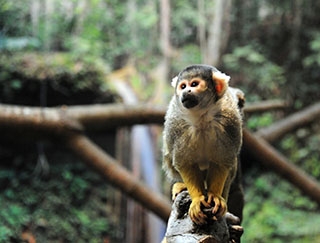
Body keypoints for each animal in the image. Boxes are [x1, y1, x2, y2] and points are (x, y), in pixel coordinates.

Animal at [164, 64, 244, 224]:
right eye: (183, 86)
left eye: (194, 84)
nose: (186, 91)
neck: (201, 116)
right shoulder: (177, 125)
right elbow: (185, 163)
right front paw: (197, 199)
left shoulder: (229, 120)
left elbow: (222, 161)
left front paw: (215, 196)